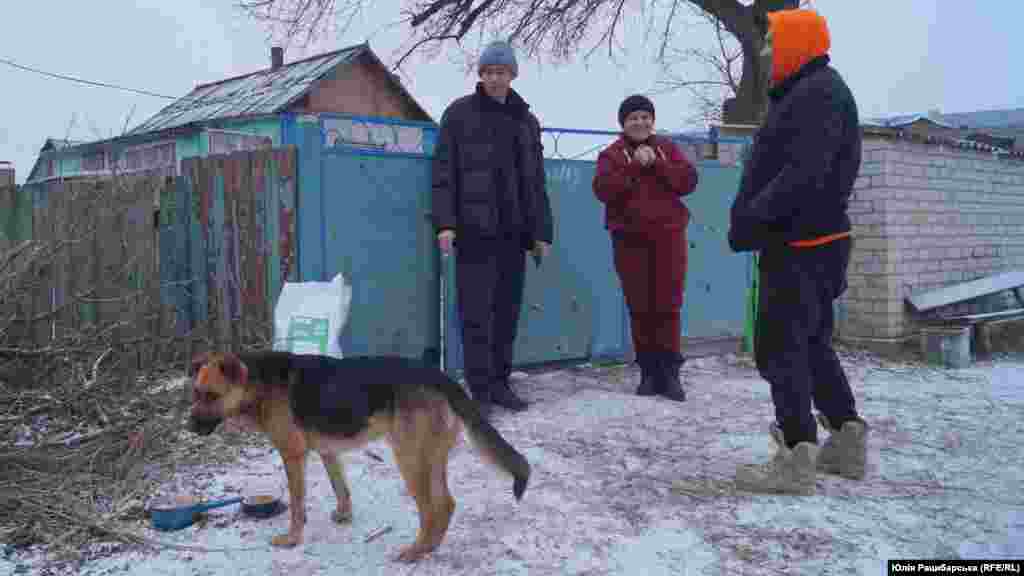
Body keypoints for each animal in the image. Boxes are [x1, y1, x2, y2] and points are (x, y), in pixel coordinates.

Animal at [187, 350, 532, 561]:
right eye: (195, 393)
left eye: (212, 396)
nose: (189, 427)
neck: (257, 382)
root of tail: (442, 378)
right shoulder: (327, 452)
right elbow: (340, 487)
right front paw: (344, 514)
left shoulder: (293, 455)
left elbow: (297, 505)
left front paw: (292, 538)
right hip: (431, 457)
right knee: (446, 505)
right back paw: (429, 548)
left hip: (409, 460)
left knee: (431, 509)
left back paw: (415, 551)